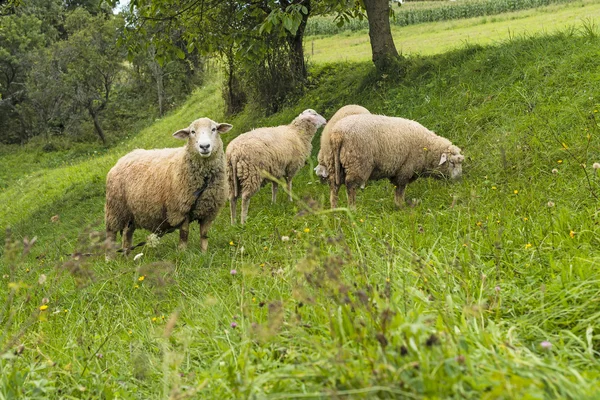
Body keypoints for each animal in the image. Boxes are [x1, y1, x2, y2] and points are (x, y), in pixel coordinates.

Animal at [105, 117, 232, 255]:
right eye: (192, 132)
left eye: (214, 129)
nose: (204, 146)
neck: (204, 179)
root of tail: (121, 160)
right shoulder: (180, 210)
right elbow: (184, 235)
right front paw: (182, 253)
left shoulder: (209, 211)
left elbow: (204, 235)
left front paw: (204, 253)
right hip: (115, 210)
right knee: (111, 236)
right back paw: (110, 258)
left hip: (131, 214)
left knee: (127, 236)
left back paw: (126, 256)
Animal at [328, 111, 464, 208]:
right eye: (452, 162)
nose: (459, 179)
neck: (427, 149)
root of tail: (337, 134)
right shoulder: (405, 169)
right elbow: (400, 189)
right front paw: (401, 206)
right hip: (357, 163)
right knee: (350, 185)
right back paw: (352, 209)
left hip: (334, 163)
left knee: (334, 186)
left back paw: (335, 211)